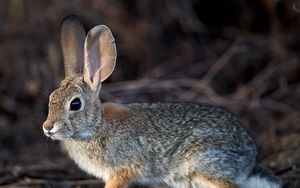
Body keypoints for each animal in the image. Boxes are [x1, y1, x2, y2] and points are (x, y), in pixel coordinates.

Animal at [42, 15, 282, 188]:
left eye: (75, 104)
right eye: (51, 98)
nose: (48, 128)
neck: (95, 126)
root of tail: (250, 159)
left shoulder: (122, 169)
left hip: (205, 165)